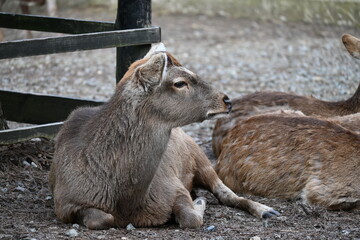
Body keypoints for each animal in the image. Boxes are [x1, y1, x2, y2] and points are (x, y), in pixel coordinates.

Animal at [47, 44, 278, 230]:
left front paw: (199, 202)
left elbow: (191, 218)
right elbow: (99, 219)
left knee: (227, 193)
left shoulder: (173, 185)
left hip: (199, 156)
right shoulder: (65, 203)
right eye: (180, 83)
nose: (227, 100)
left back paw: (267, 210)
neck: (126, 201)